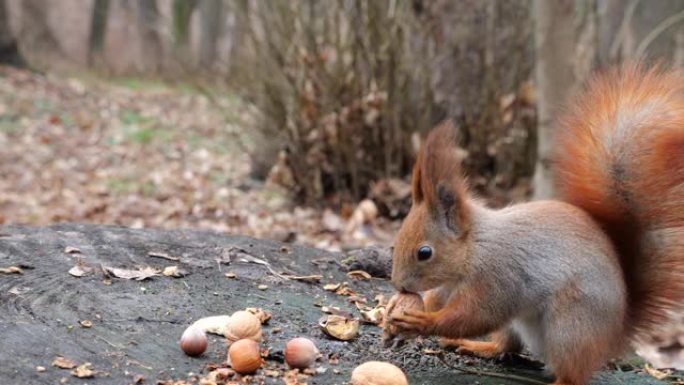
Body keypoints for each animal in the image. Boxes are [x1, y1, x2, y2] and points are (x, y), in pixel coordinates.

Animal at [384, 64, 684, 382]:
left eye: (424, 252)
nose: (398, 284)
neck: (474, 248)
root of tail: (613, 334)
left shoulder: (498, 277)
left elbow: (475, 315)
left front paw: (420, 321)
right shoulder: (450, 285)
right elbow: (439, 300)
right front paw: (394, 310)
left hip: (571, 325)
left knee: (572, 373)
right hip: (520, 325)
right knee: (508, 346)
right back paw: (476, 346)